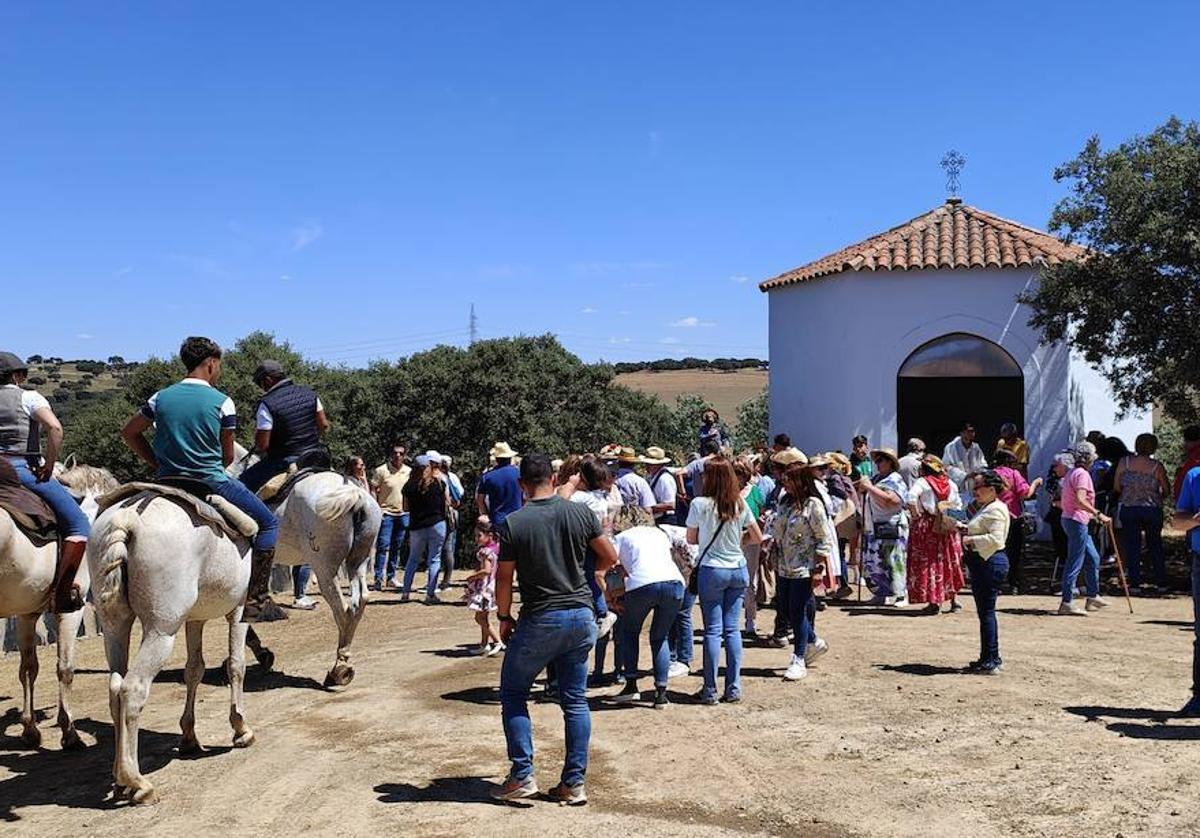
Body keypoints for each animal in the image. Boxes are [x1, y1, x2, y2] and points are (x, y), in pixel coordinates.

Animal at [0, 463, 116, 744]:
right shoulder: (70, 609)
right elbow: (65, 668)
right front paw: (69, 731)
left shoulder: (27, 613)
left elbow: (28, 668)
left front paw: (30, 728)